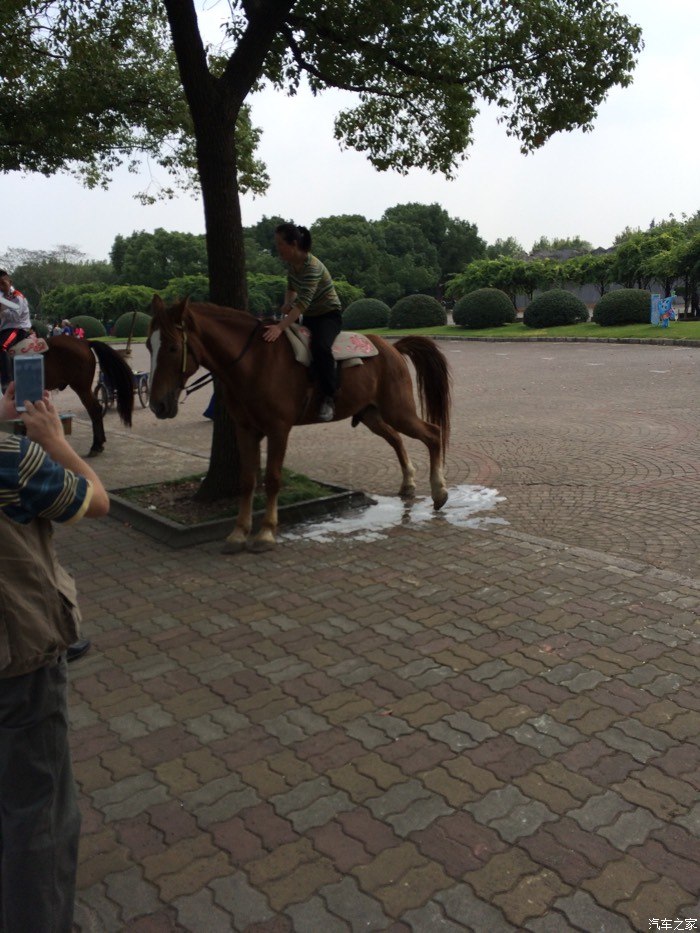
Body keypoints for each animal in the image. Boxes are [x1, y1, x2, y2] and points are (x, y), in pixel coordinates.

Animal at [150, 294, 452, 548]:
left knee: (432, 433)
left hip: (398, 410)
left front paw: (266, 531)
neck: (254, 361)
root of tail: (391, 347)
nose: (157, 404)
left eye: (173, 347)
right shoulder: (245, 430)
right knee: (397, 439)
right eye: (148, 346)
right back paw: (409, 483)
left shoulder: (278, 429)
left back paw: (439, 491)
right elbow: (247, 480)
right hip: (372, 415)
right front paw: (239, 531)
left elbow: (272, 478)